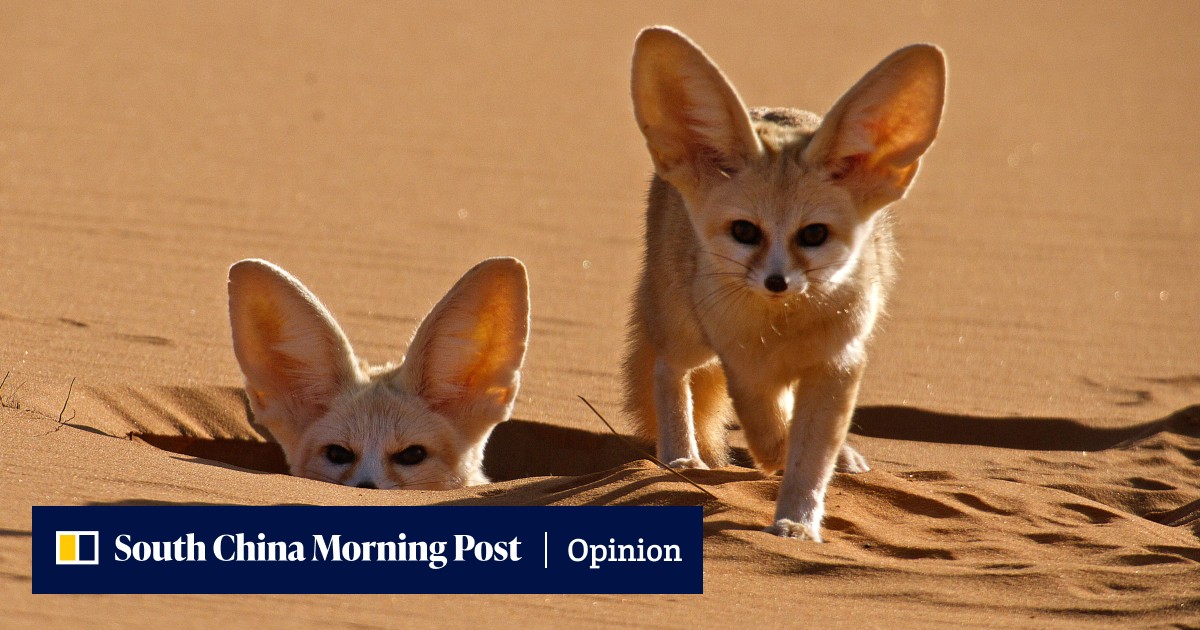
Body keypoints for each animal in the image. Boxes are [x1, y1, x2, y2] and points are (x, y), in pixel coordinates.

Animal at [622, 27, 945, 540]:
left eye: (813, 235)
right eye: (744, 232)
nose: (777, 282)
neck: (784, 328)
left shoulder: (838, 364)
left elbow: (810, 452)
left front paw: (798, 522)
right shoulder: (744, 365)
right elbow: (771, 430)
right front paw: (776, 463)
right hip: (688, 334)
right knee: (666, 370)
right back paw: (682, 459)